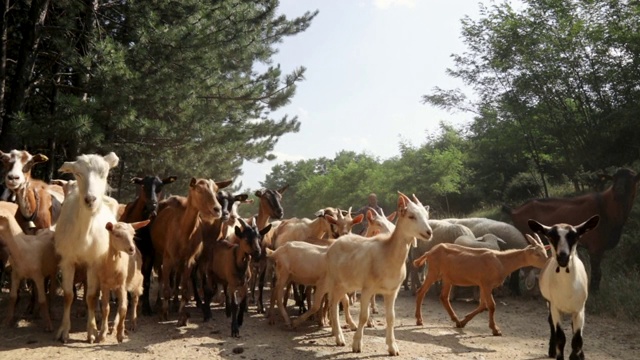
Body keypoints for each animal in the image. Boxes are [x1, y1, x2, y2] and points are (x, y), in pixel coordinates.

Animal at [53, 152, 120, 344]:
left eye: (104, 173)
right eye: (77, 173)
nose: (90, 199)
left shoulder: (94, 262)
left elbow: (91, 296)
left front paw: (91, 331)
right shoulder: (67, 261)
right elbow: (68, 295)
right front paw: (64, 331)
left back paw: (96, 313)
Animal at [314, 193, 430, 356]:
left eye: (427, 215)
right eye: (411, 216)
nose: (429, 232)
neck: (386, 254)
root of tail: (335, 242)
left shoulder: (392, 291)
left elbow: (391, 318)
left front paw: (392, 347)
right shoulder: (367, 288)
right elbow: (363, 316)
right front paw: (356, 345)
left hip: (346, 283)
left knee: (336, 303)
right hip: (335, 281)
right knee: (333, 305)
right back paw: (339, 338)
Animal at [524, 215, 600, 360]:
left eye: (575, 236)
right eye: (551, 236)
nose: (563, 257)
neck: (567, 289)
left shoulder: (579, 309)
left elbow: (577, 339)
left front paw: (576, 356)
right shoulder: (555, 307)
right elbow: (560, 337)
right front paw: (559, 354)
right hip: (549, 302)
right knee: (551, 323)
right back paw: (552, 350)